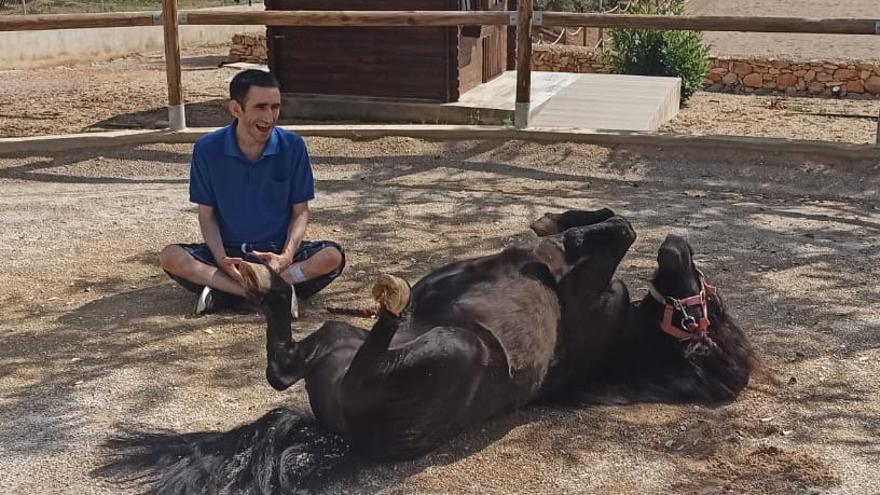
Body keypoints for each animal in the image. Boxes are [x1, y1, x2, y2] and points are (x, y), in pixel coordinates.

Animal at [94, 210, 756, 495]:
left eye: (713, 313)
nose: (680, 246)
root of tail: (345, 436)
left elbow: (618, 230)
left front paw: (560, 230)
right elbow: (608, 221)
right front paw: (560, 221)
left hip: (456, 347)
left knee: (314, 363)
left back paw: (375, 301)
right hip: (338, 342)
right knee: (286, 366)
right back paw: (277, 284)